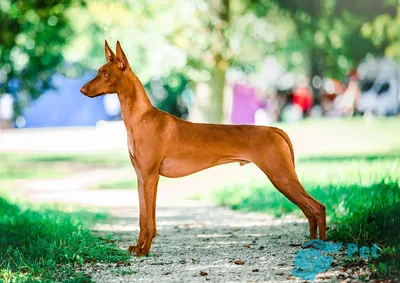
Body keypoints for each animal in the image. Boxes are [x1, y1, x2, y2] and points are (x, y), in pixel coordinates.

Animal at [80, 41, 324, 258]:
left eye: (104, 73)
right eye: (98, 71)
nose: (82, 89)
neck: (141, 118)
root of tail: (274, 128)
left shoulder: (150, 177)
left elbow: (149, 220)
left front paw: (144, 249)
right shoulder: (141, 177)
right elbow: (143, 218)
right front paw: (139, 247)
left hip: (281, 176)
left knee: (318, 207)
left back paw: (321, 245)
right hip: (283, 177)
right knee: (309, 210)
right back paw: (311, 244)